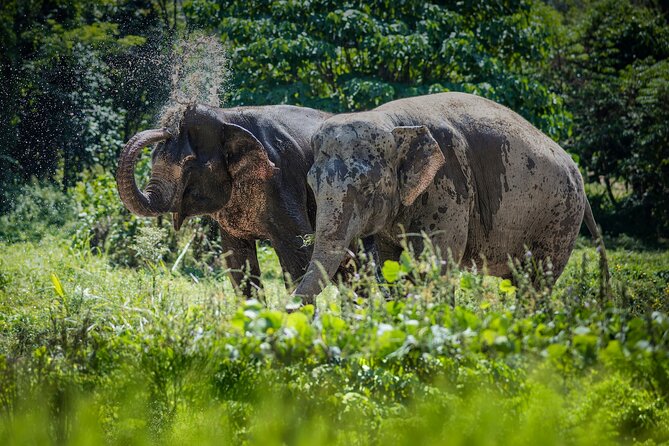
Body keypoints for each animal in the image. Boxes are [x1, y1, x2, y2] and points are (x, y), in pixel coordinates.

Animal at [118, 103, 332, 296]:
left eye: (189, 164)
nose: (166, 129)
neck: (226, 117)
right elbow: (237, 262)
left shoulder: (282, 181)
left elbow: (300, 253)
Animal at [294, 93, 608, 304]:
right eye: (311, 184)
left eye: (367, 188)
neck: (393, 124)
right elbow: (390, 264)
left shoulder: (449, 187)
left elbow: (437, 263)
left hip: (560, 218)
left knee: (538, 280)